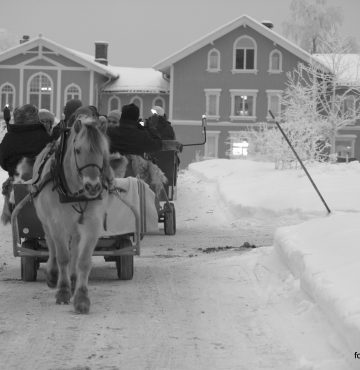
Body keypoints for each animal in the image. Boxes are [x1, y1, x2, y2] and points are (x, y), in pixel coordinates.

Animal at [34, 117, 113, 314]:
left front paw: (82, 297)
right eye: (78, 150)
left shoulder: (92, 224)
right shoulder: (57, 223)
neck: (74, 193)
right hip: (45, 220)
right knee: (51, 244)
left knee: (75, 247)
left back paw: (74, 277)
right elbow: (63, 257)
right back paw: (53, 274)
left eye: (103, 151)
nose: (93, 186)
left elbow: (83, 260)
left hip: (76, 226)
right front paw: (63, 291)